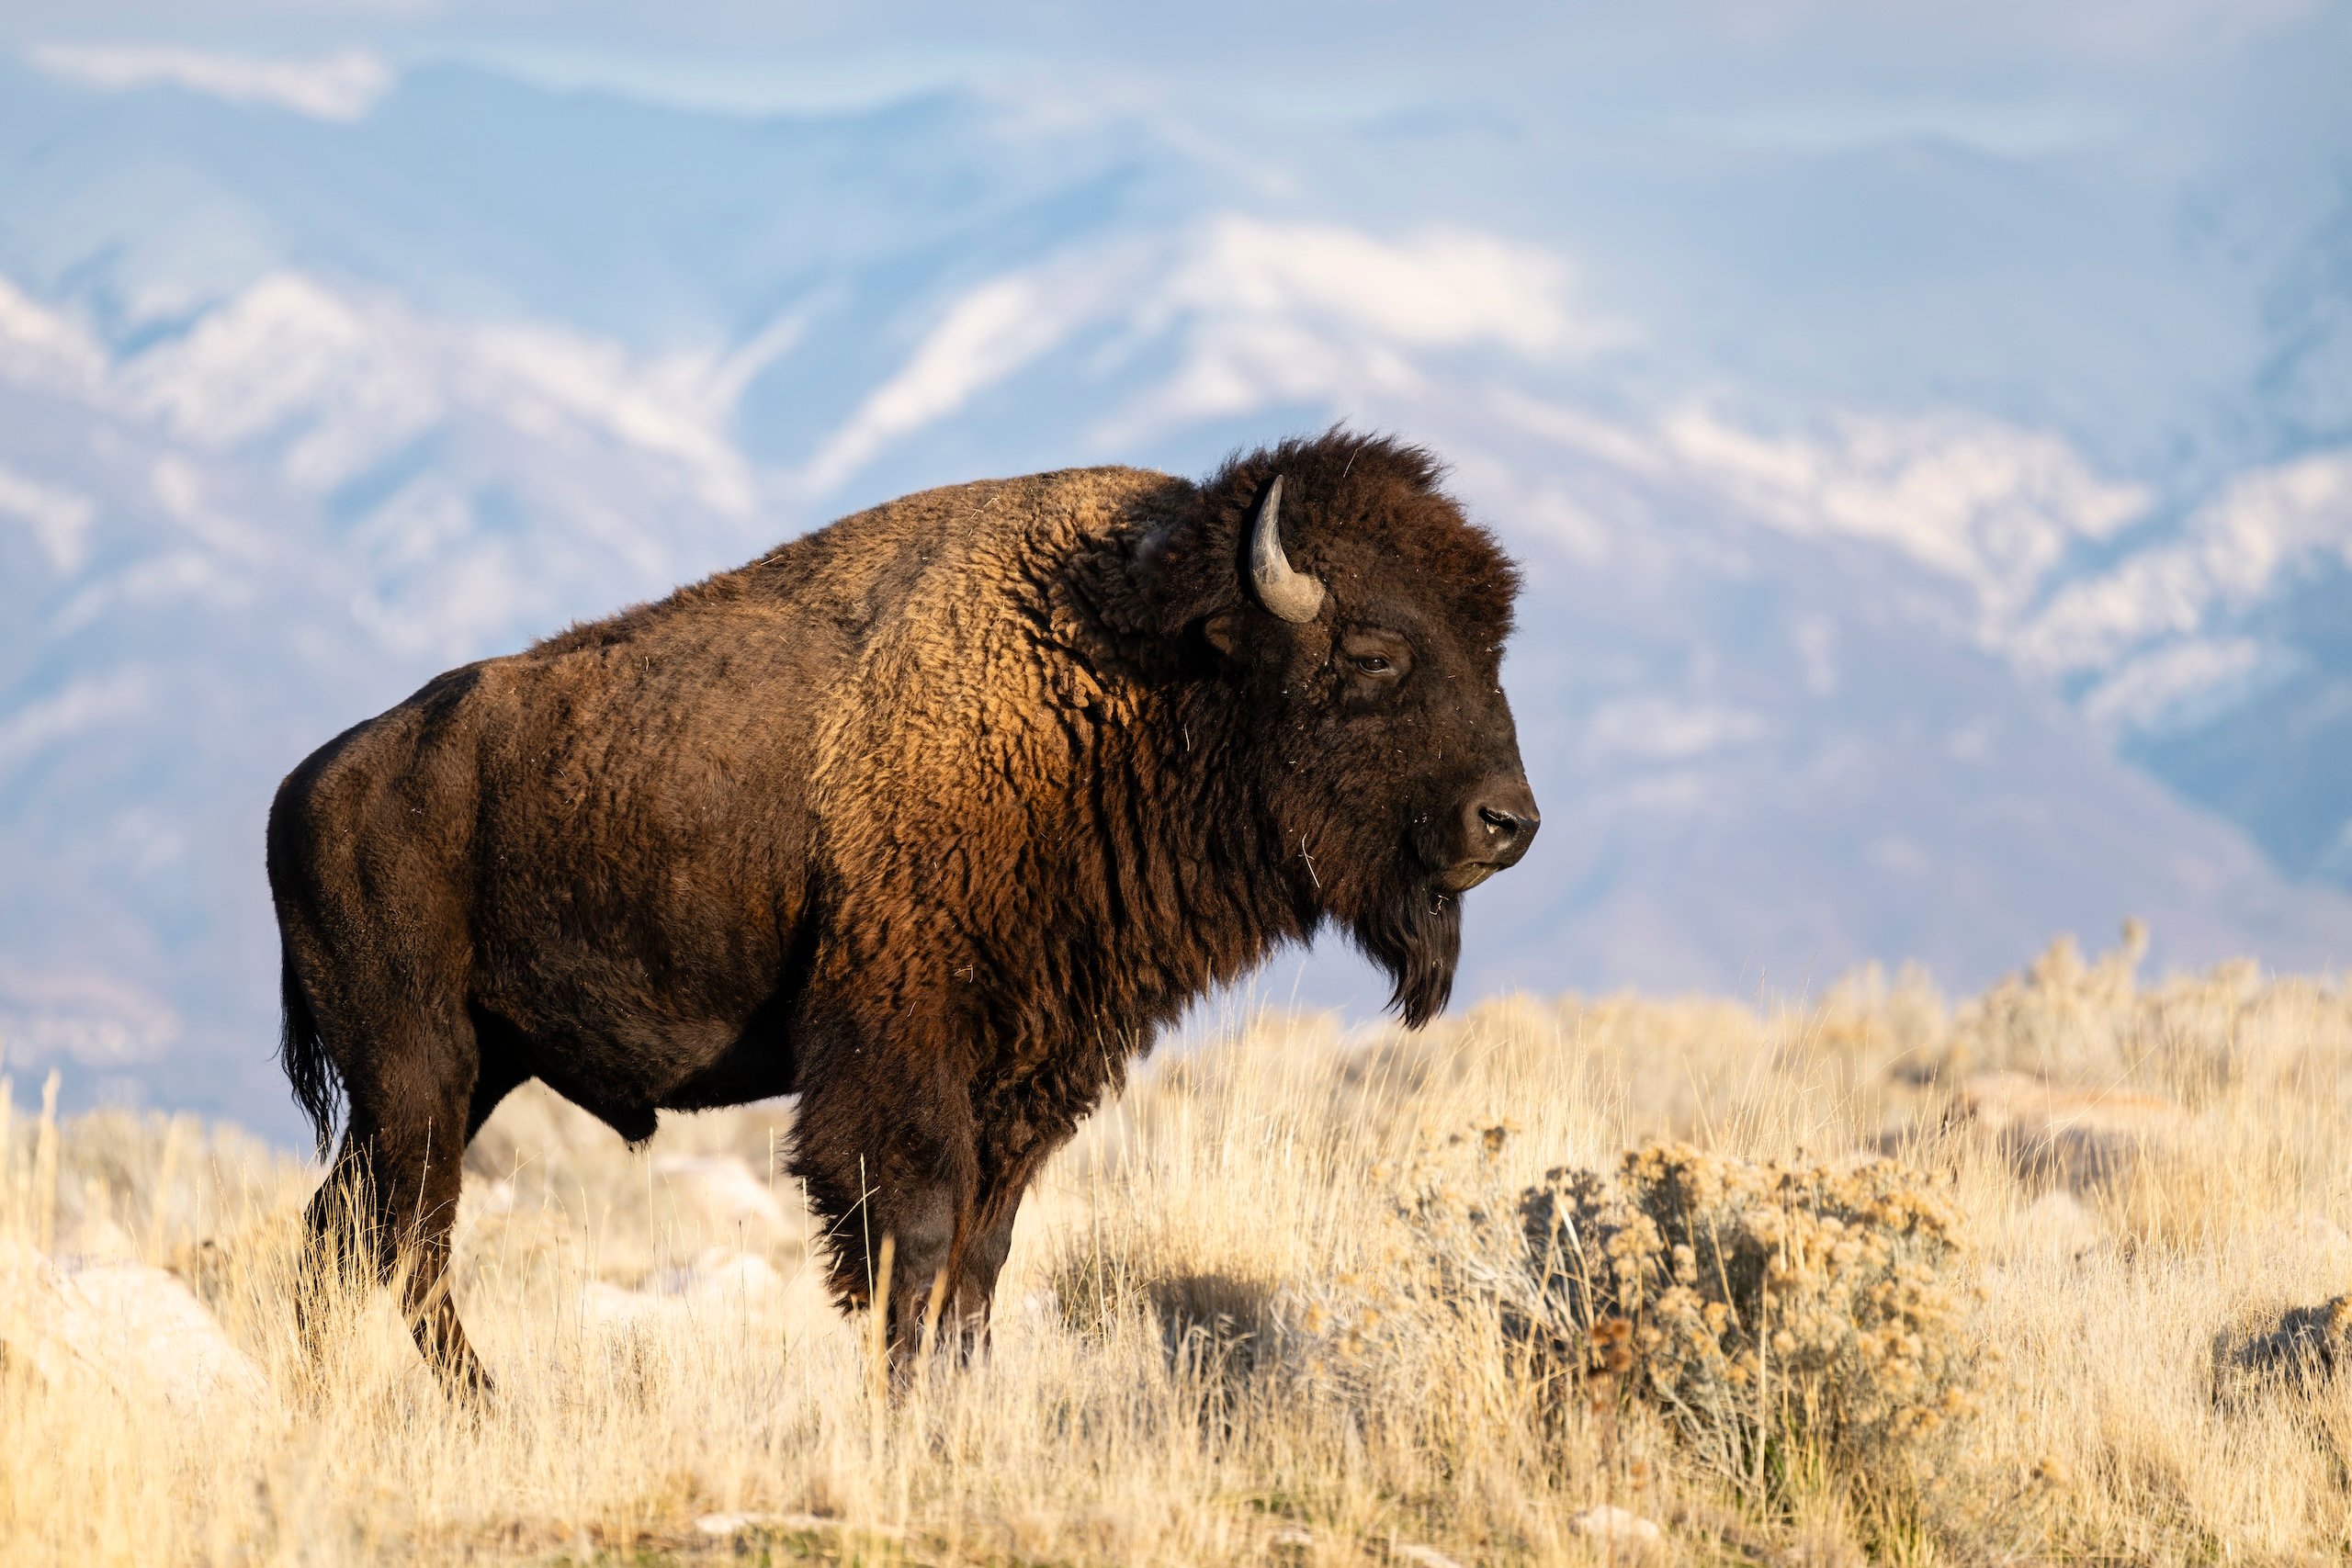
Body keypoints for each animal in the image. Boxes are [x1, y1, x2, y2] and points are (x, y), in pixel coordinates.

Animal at [266, 430, 1533, 1382]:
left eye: (1493, 647)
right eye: (1373, 653)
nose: (1506, 823)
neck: (1118, 681)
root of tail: (308, 787)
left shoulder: (1035, 1071)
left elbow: (983, 1256)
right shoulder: (895, 1057)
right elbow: (914, 1245)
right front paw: (905, 1409)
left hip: (470, 1074)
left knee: (345, 1235)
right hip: (417, 1069)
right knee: (406, 1239)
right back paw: (478, 1406)